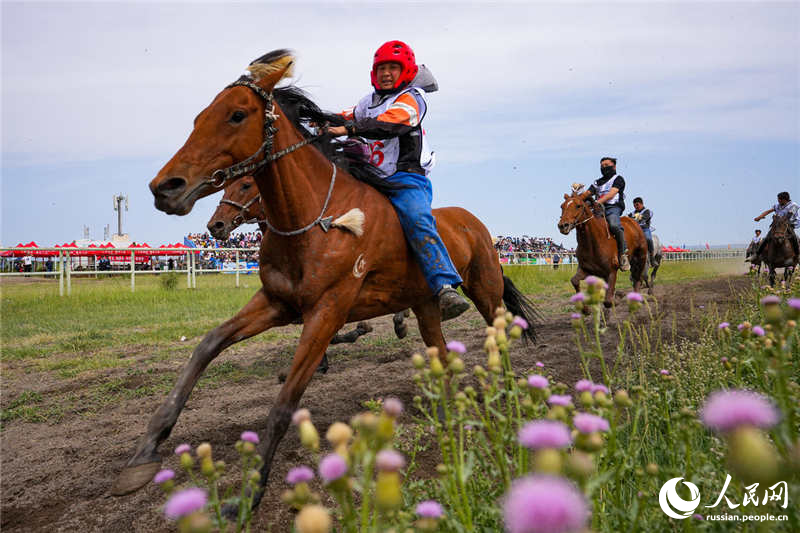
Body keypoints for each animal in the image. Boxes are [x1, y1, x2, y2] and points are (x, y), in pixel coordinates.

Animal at [112, 52, 536, 504]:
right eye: (198, 117)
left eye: (236, 115)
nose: (165, 187)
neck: (320, 219)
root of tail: (477, 225)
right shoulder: (276, 302)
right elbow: (207, 345)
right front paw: (145, 451)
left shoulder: (327, 310)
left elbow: (285, 402)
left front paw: (249, 491)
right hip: (424, 305)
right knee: (438, 347)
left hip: (484, 290)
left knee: (499, 332)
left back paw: (507, 393)